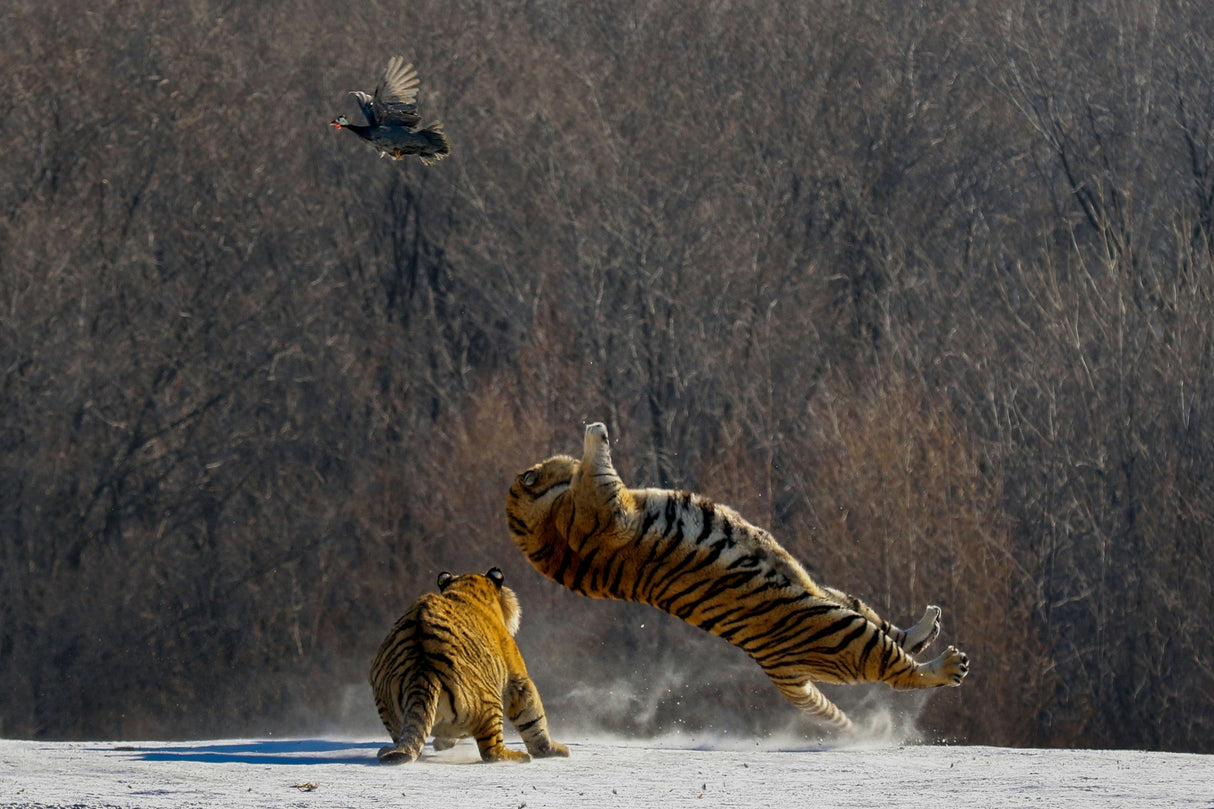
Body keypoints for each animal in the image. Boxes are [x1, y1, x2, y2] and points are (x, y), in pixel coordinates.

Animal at [368, 567, 570, 763]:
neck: (466, 589)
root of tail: (421, 672)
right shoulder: (518, 680)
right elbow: (534, 718)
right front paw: (553, 750)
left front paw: (441, 743)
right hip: (489, 703)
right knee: (492, 752)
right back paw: (519, 756)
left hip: (389, 708)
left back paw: (386, 750)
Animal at [506, 422, 969, 732]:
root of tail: (777, 671)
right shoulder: (603, 500)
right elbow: (597, 463)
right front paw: (595, 430)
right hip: (840, 627)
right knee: (901, 670)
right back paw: (951, 666)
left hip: (831, 597)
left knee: (898, 635)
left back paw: (930, 624)